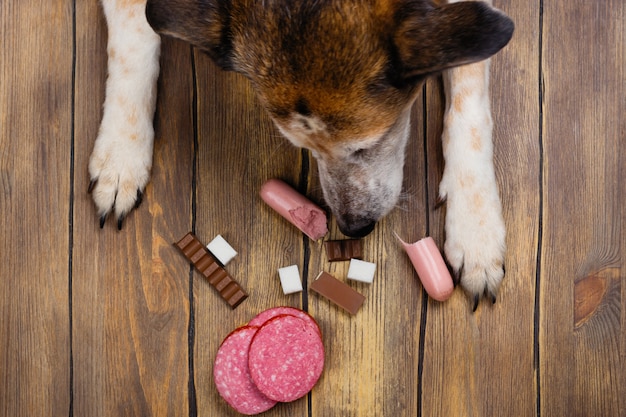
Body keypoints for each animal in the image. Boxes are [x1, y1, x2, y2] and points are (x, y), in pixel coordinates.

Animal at [91, 0, 512, 306]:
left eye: (366, 145)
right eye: (305, 150)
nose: (355, 228)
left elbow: (469, 102)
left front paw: (476, 230)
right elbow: (132, 45)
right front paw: (121, 156)